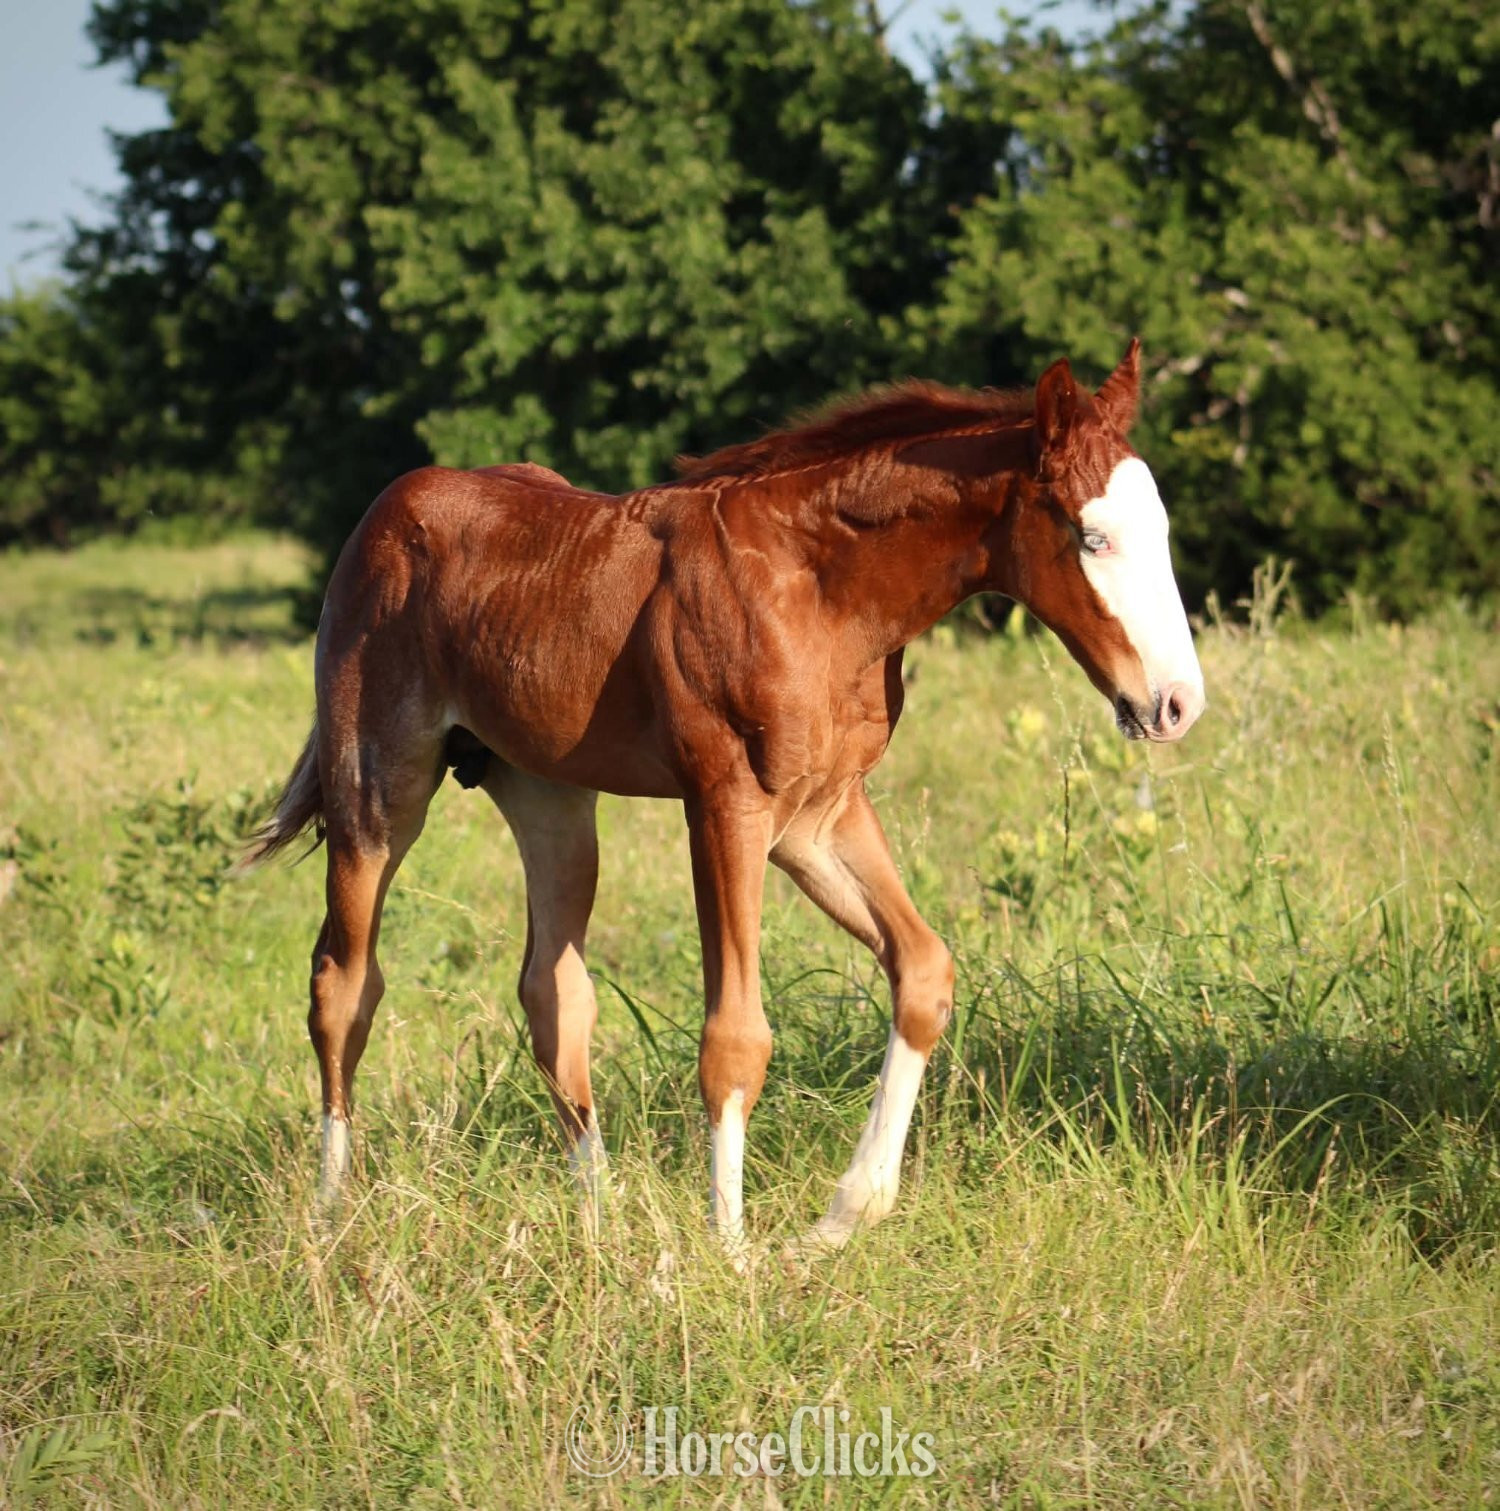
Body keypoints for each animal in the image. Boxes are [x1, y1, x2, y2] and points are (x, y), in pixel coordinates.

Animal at [243, 340, 1205, 1252]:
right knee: (343, 984)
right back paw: (331, 1218)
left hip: (548, 795)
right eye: (1091, 537)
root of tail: (387, 509)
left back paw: (602, 1224)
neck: (816, 587)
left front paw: (842, 1216)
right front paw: (732, 1251)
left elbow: (924, 969)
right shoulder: (726, 803)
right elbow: (736, 1037)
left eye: (1161, 528)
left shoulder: (821, 812)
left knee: (553, 991)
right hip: (378, 790)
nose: (1176, 704)